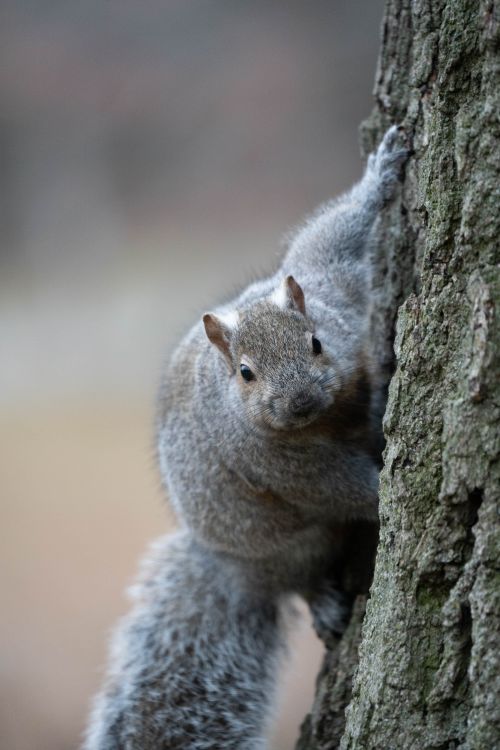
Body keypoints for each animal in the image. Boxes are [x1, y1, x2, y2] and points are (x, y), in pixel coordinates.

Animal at [83, 126, 409, 750]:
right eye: (245, 373)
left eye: (315, 342)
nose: (300, 400)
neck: (327, 417)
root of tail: (236, 570)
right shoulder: (275, 462)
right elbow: (335, 486)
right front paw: (391, 492)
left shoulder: (333, 288)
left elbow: (330, 237)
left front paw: (381, 175)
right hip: (291, 546)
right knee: (301, 579)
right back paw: (324, 602)